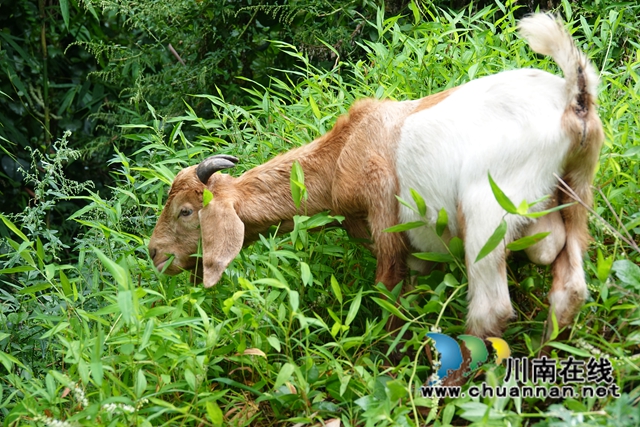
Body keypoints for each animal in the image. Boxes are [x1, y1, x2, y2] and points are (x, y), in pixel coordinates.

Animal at [148, 13, 604, 340]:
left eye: (186, 211)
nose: (154, 254)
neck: (341, 154)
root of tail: (574, 99)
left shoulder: (385, 218)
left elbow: (388, 293)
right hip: (577, 189)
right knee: (569, 287)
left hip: (487, 210)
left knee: (491, 308)